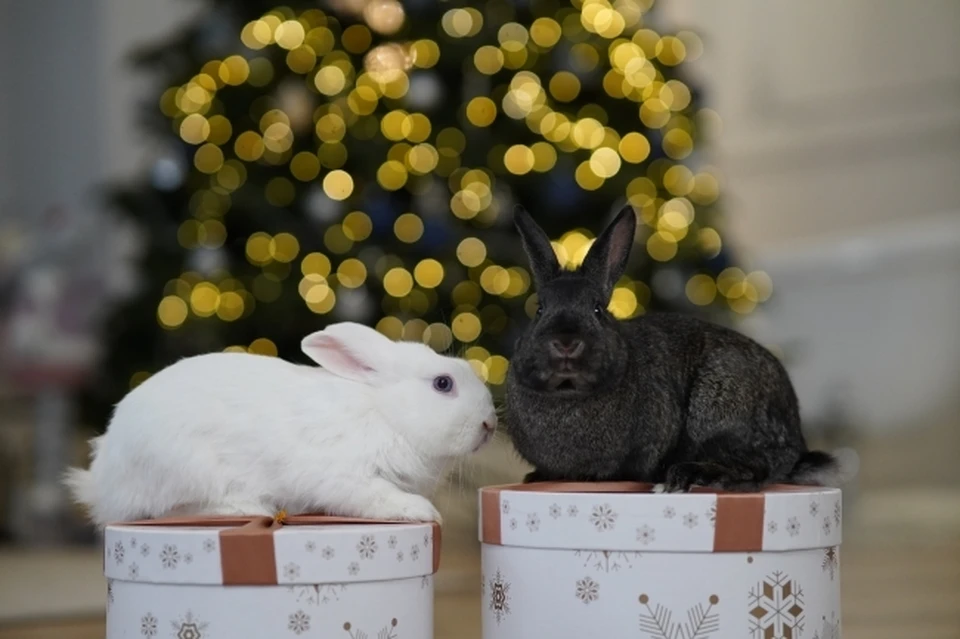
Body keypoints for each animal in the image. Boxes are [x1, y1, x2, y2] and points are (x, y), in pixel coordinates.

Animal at [62, 322, 496, 528]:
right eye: (443, 384)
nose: (490, 423)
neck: (386, 413)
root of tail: (101, 480)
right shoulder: (346, 478)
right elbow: (380, 497)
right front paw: (423, 512)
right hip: (186, 470)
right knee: (167, 511)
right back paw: (246, 506)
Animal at [506, 208, 852, 492]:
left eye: (596, 310)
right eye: (539, 309)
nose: (565, 342)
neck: (568, 393)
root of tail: (795, 442)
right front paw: (534, 477)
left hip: (719, 410)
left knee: (754, 470)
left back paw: (691, 475)